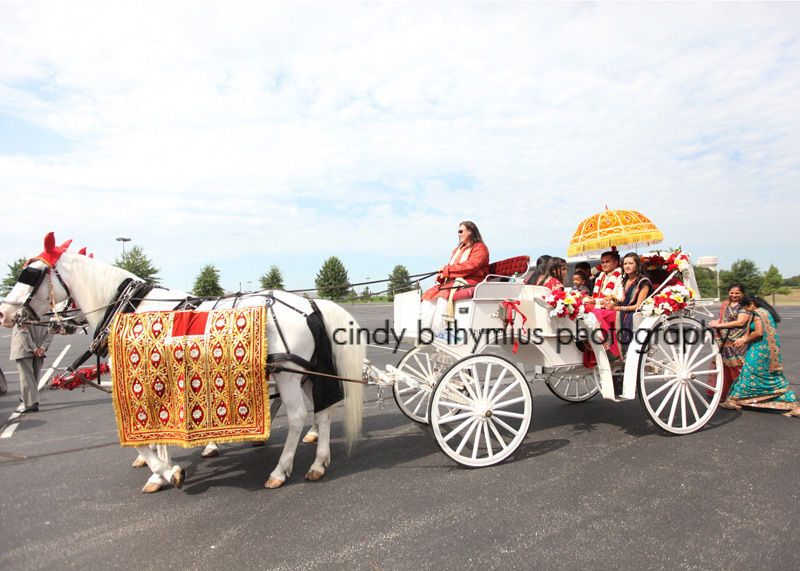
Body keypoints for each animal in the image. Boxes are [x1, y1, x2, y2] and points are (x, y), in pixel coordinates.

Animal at [0, 235, 366, 494]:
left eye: (30, 273)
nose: (5, 313)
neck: (129, 307)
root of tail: (310, 305)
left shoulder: (141, 380)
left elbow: (145, 436)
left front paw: (165, 471)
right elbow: (157, 430)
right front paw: (161, 465)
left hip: (288, 375)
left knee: (299, 416)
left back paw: (280, 469)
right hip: (306, 371)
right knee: (322, 411)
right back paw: (318, 463)